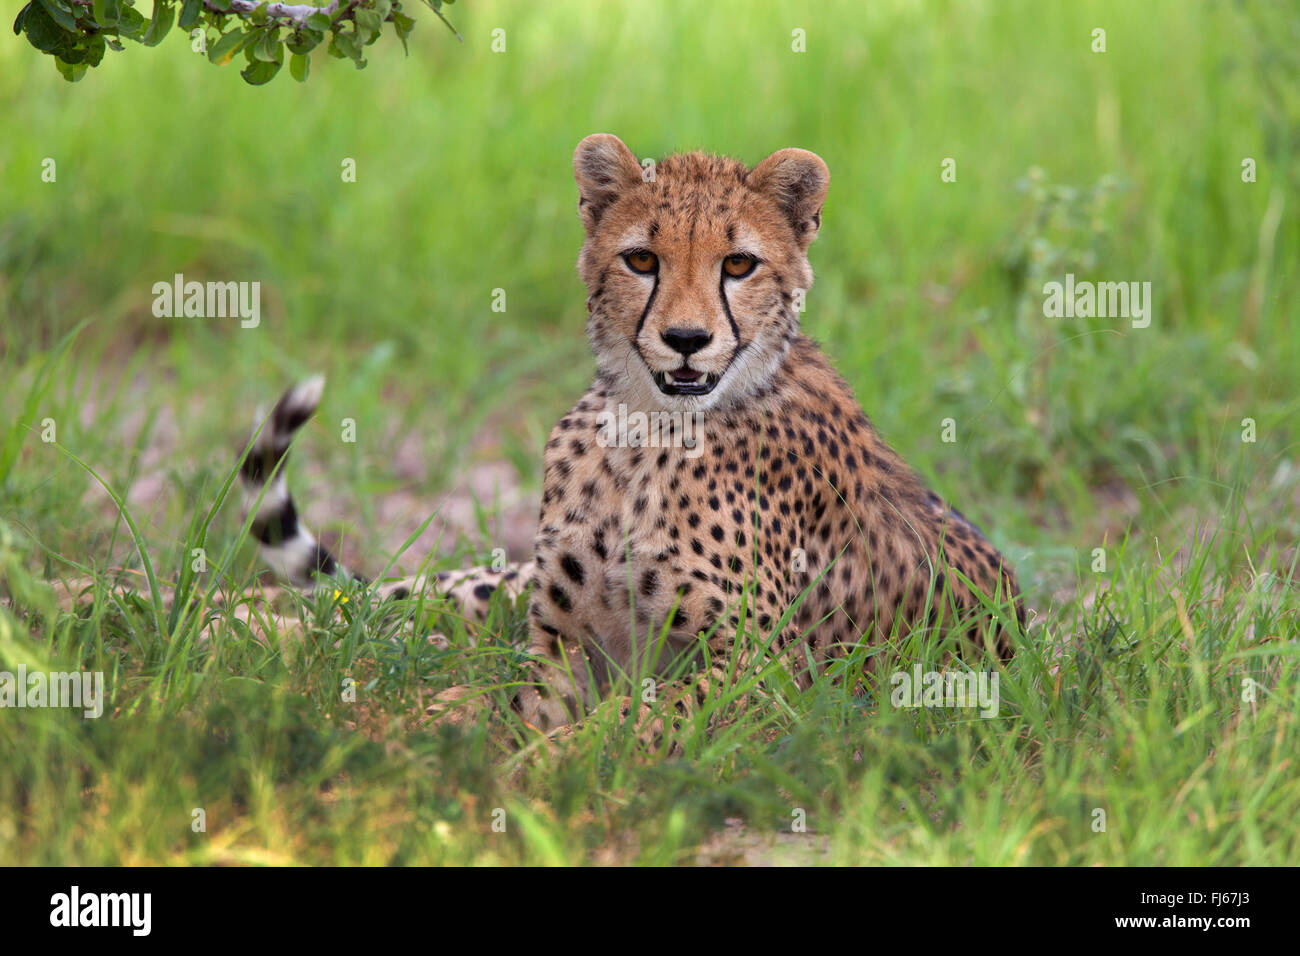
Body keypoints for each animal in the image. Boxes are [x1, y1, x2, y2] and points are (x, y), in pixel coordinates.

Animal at [239, 132, 1019, 733]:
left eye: (739, 264)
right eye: (642, 259)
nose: (686, 339)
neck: (645, 433)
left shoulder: (759, 669)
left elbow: (634, 720)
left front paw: (542, 760)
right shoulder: (563, 643)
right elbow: (513, 697)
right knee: (377, 598)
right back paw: (228, 620)